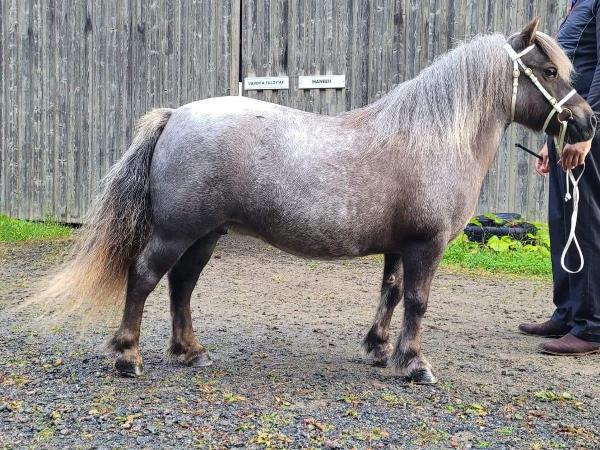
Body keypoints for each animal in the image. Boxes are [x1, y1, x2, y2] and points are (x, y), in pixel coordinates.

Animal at [44, 18, 596, 383]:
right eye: (547, 70)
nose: (587, 123)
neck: (432, 137)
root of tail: (176, 115)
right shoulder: (426, 245)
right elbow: (417, 301)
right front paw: (416, 365)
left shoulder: (400, 247)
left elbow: (392, 294)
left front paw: (381, 350)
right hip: (175, 232)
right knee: (143, 278)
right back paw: (128, 357)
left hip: (204, 236)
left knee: (181, 286)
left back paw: (190, 351)